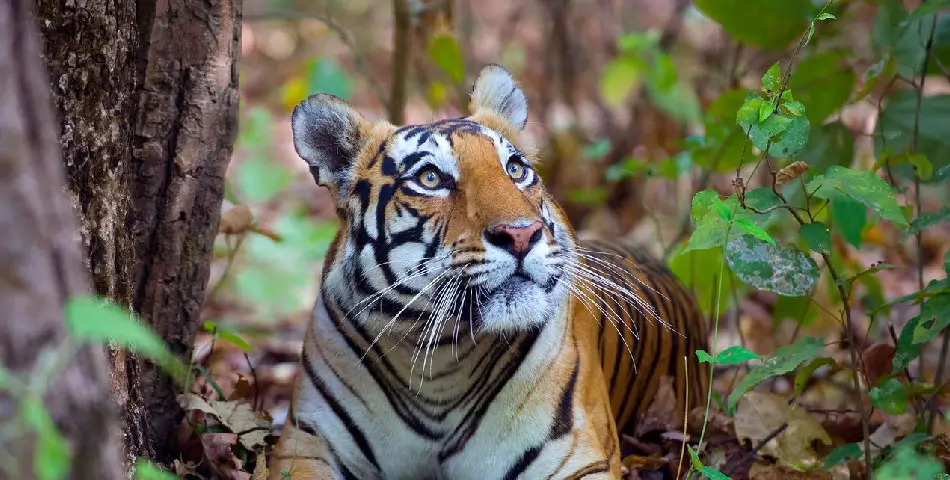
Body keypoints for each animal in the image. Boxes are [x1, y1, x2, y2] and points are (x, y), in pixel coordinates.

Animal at [269, 64, 710, 480]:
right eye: (430, 178)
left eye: (515, 169)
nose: (521, 234)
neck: (438, 362)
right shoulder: (308, 445)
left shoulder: (578, 460)